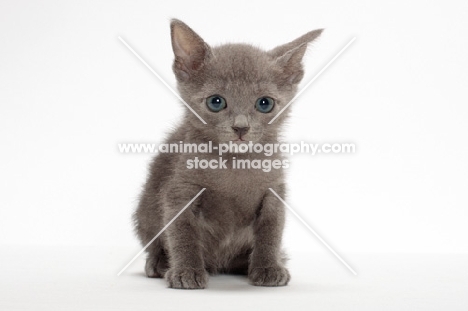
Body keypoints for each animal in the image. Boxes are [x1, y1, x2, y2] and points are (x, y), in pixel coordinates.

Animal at [133, 19, 320, 290]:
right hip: (145, 211)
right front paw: (187, 271)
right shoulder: (179, 190)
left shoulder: (275, 190)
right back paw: (159, 263)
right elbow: (182, 231)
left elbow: (272, 229)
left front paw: (268, 267)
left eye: (265, 103)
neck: (234, 164)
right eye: (216, 102)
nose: (241, 127)